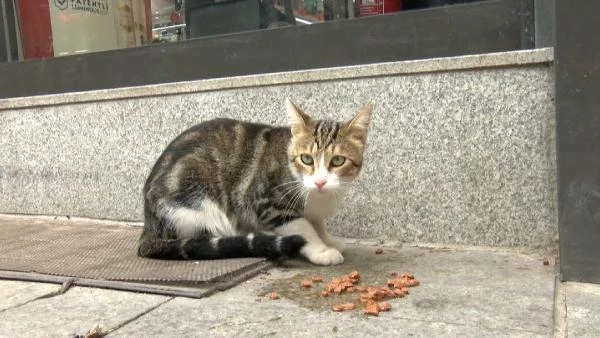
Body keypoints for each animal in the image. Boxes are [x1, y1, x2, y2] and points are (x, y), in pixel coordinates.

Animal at [138, 99, 372, 266]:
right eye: (306, 159)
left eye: (338, 160)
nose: (320, 181)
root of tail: (149, 226)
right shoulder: (269, 202)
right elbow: (303, 227)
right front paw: (321, 249)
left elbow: (316, 223)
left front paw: (328, 239)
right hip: (195, 201)